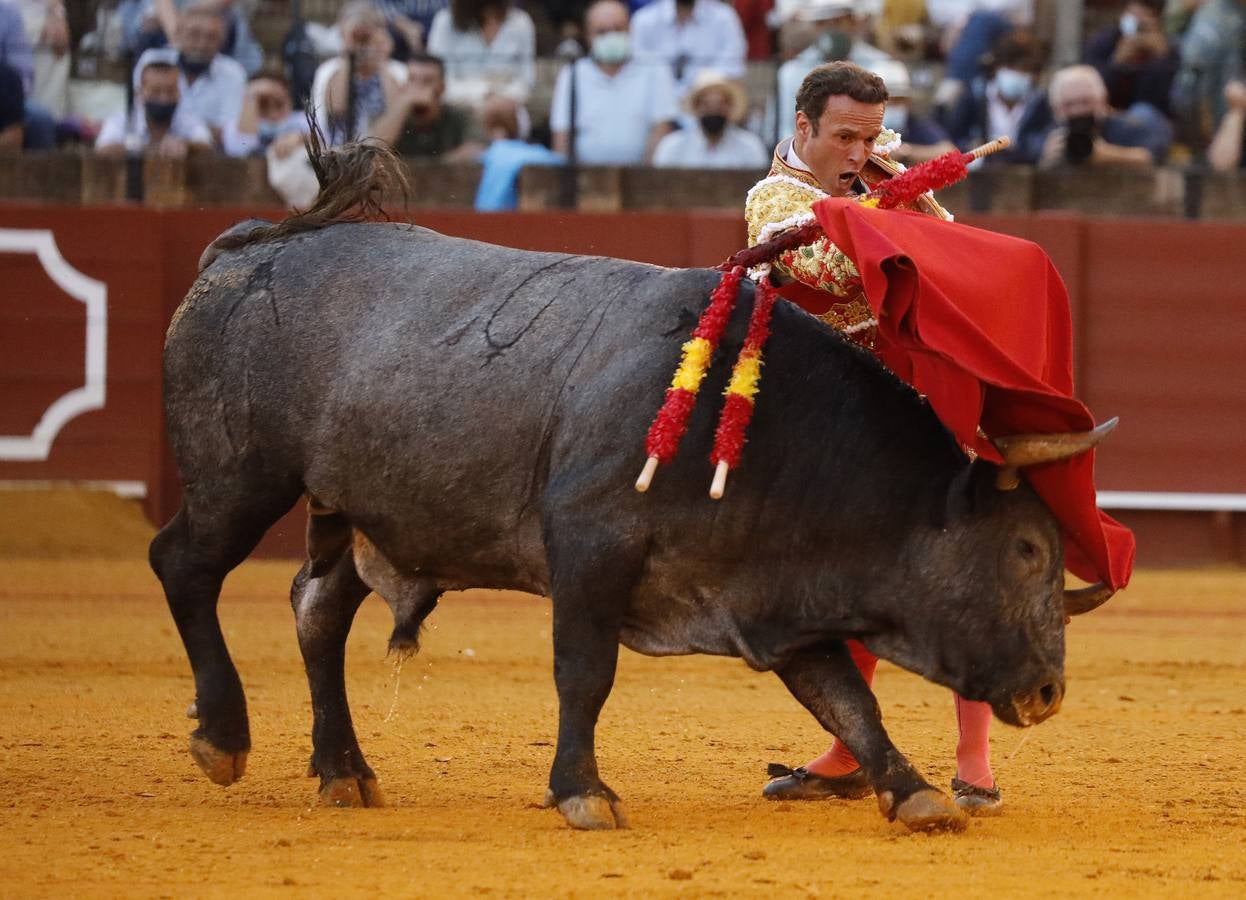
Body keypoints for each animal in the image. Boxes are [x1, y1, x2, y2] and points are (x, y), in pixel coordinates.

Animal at [150, 215, 1116, 827]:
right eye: (1027, 548)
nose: (1050, 692)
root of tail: (244, 248)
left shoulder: (776, 595)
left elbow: (845, 699)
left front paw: (912, 792)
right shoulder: (589, 550)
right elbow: (586, 673)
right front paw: (583, 792)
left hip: (353, 513)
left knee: (317, 611)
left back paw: (345, 773)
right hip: (241, 477)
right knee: (183, 564)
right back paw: (223, 738)